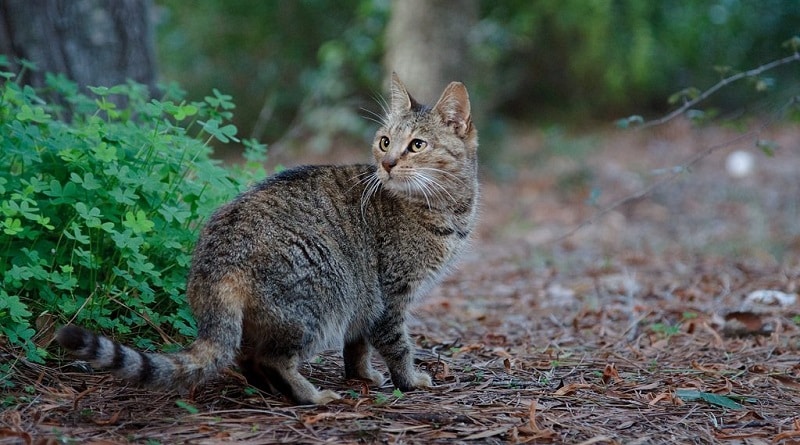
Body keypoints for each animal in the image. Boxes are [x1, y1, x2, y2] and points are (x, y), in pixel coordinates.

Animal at [57, 73, 482, 406]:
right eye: (384, 142)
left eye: (417, 145)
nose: (387, 164)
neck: (447, 207)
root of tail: (215, 260)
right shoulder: (390, 296)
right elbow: (397, 345)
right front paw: (409, 380)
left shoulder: (369, 300)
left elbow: (357, 345)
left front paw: (363, 376)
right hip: (322, 295)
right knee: (274, 358)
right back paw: (310, 395)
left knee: (248, 358)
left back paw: (270, 389)